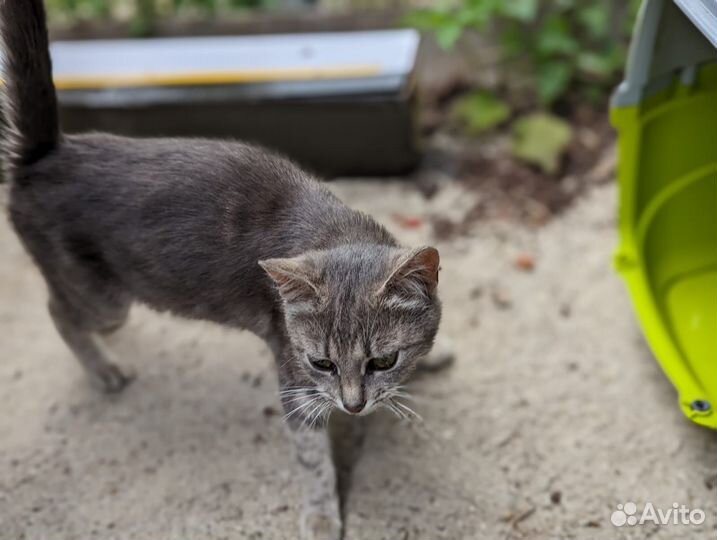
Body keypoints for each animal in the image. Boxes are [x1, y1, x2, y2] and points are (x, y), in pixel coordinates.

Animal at [1, 2, 442, 536]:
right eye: (321, 363)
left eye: (383, 360)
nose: (352, 406)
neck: (332, 229)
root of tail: (49, 155)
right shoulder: (296, 385)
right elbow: (313, 461)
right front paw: (321, 516)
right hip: (104, 300)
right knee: (58, 311)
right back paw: (104, 369)